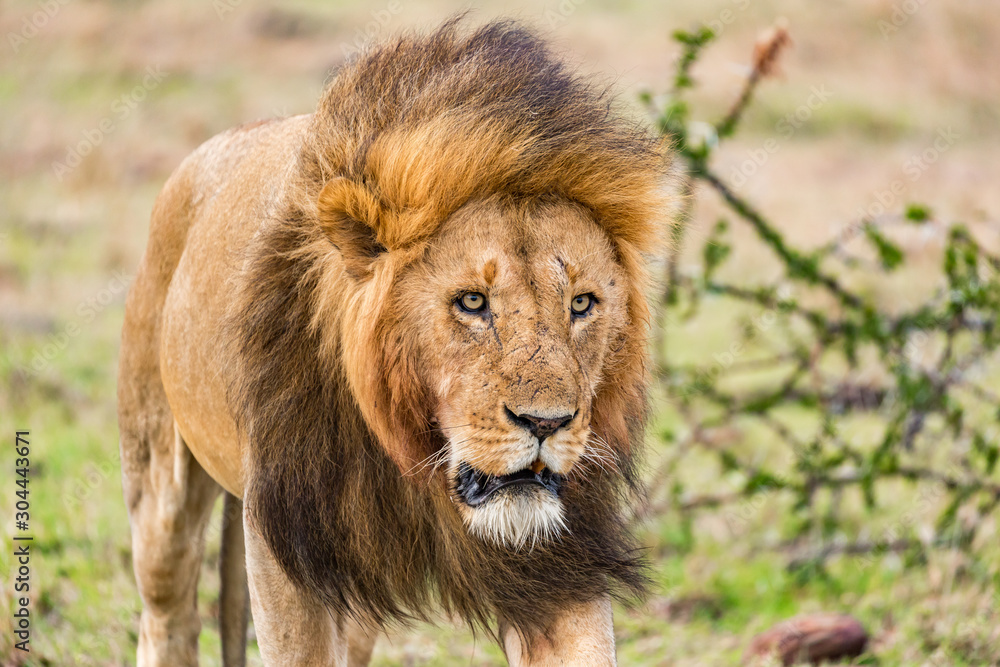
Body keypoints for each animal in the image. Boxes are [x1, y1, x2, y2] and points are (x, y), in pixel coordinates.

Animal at [117, 18, 670, 667]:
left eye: (581, 304)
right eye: (472, 302)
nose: (546, 422)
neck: (413, 451)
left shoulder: (556, 562)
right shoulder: (286, 549)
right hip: (159, 479)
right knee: (167, 611)